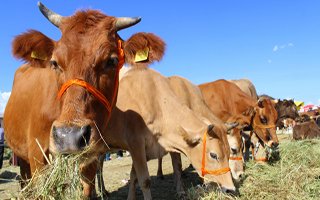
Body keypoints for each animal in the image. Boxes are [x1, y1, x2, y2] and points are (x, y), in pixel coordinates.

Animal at [3, 1, 165, 198]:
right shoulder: (37, 155)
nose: (69, 137)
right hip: (22, 157)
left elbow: (87, 188)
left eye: (112, 61)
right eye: (54, 62)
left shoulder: (91, 155)